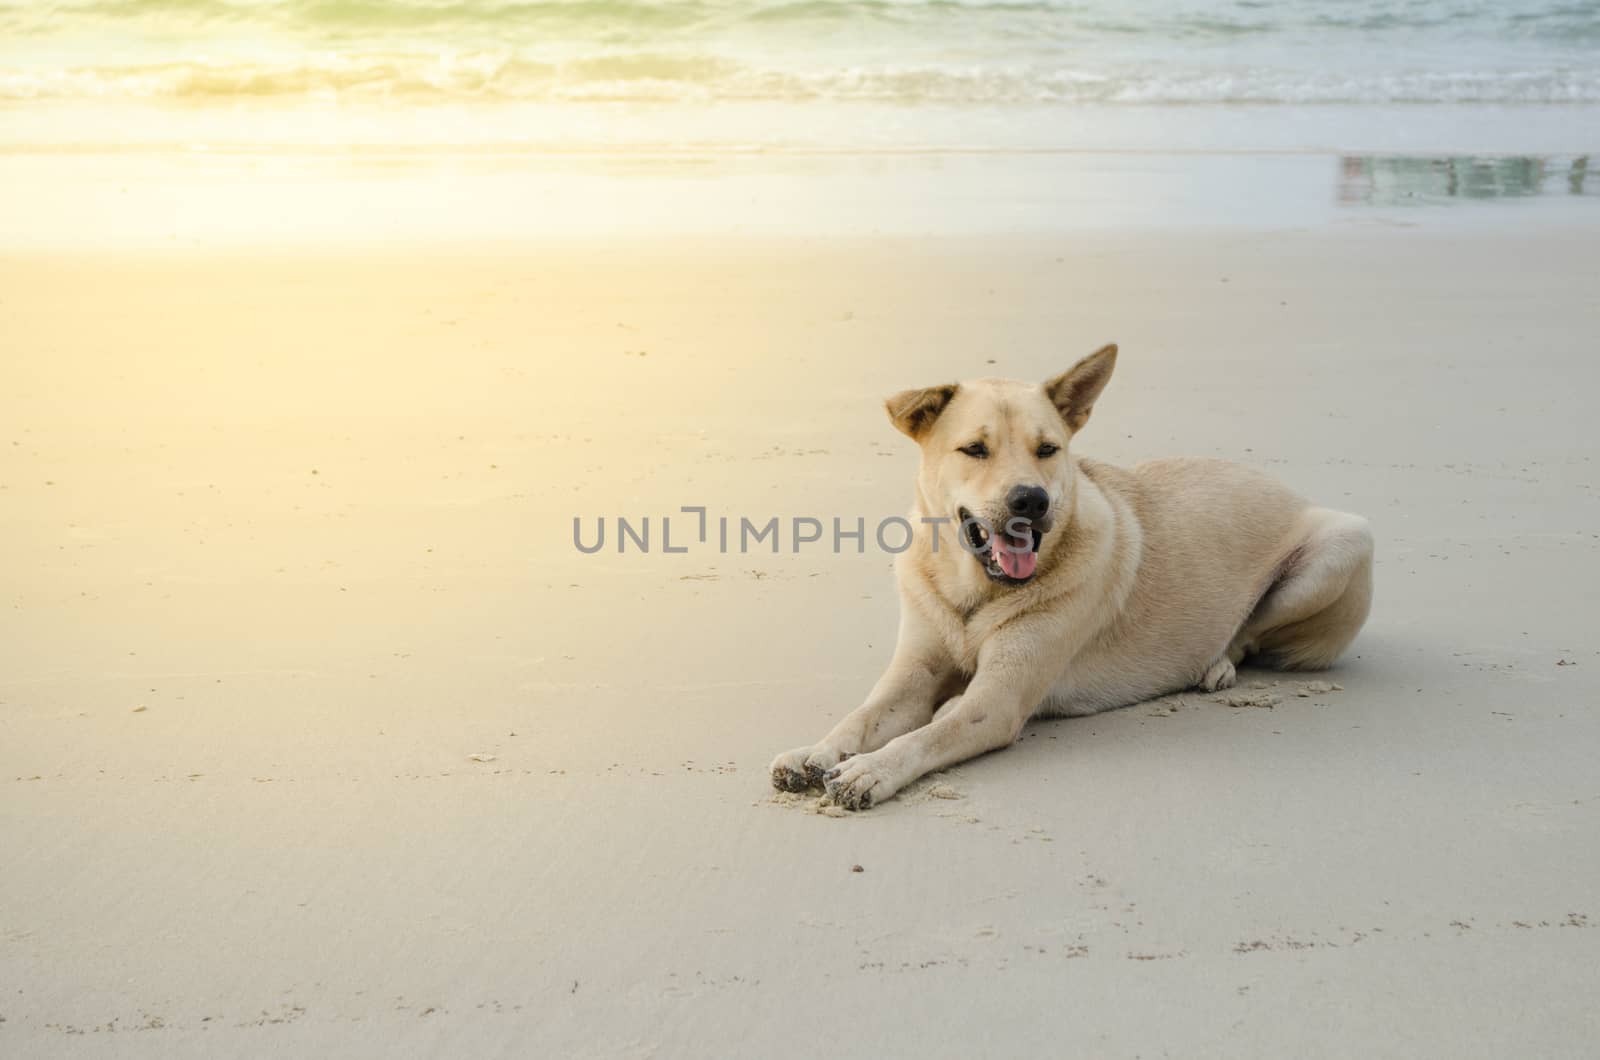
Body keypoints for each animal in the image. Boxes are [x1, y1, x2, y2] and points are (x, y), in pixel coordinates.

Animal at [768, 344, 1369, 810]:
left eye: (1047, 449)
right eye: (975, 449)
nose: (1030, 500)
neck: (973, 591)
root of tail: (1284, 485)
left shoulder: (997, 701)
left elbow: (927, 733)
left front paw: (870, 769)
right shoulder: (911, 676)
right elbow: (859, 718)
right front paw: (814, 752)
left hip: (1345, 543)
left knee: (1248, 636)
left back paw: (1216, 665)